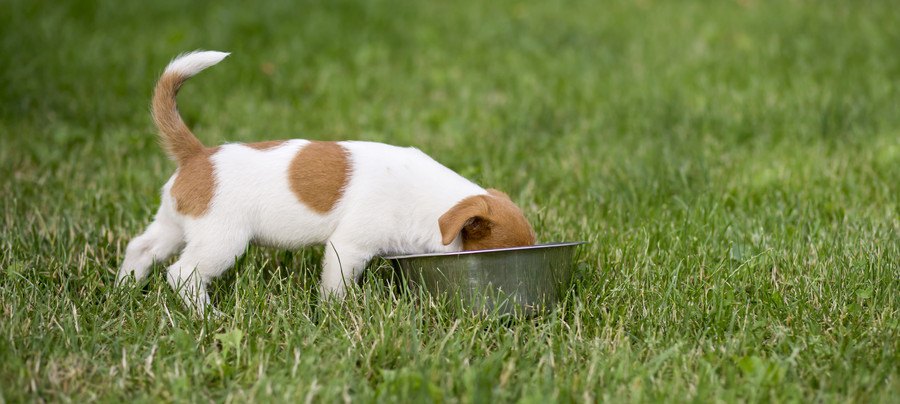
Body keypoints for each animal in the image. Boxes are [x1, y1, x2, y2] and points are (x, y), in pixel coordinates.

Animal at [118, 51, 536, 316]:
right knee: (181, 274)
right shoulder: (348, 248)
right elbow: (337, 286)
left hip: (173, 225)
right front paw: (338, 315)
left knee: (141, 248)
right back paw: (207, 316)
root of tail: (198, 155)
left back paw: (125, 288)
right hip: (222, 240)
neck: (433, 205)